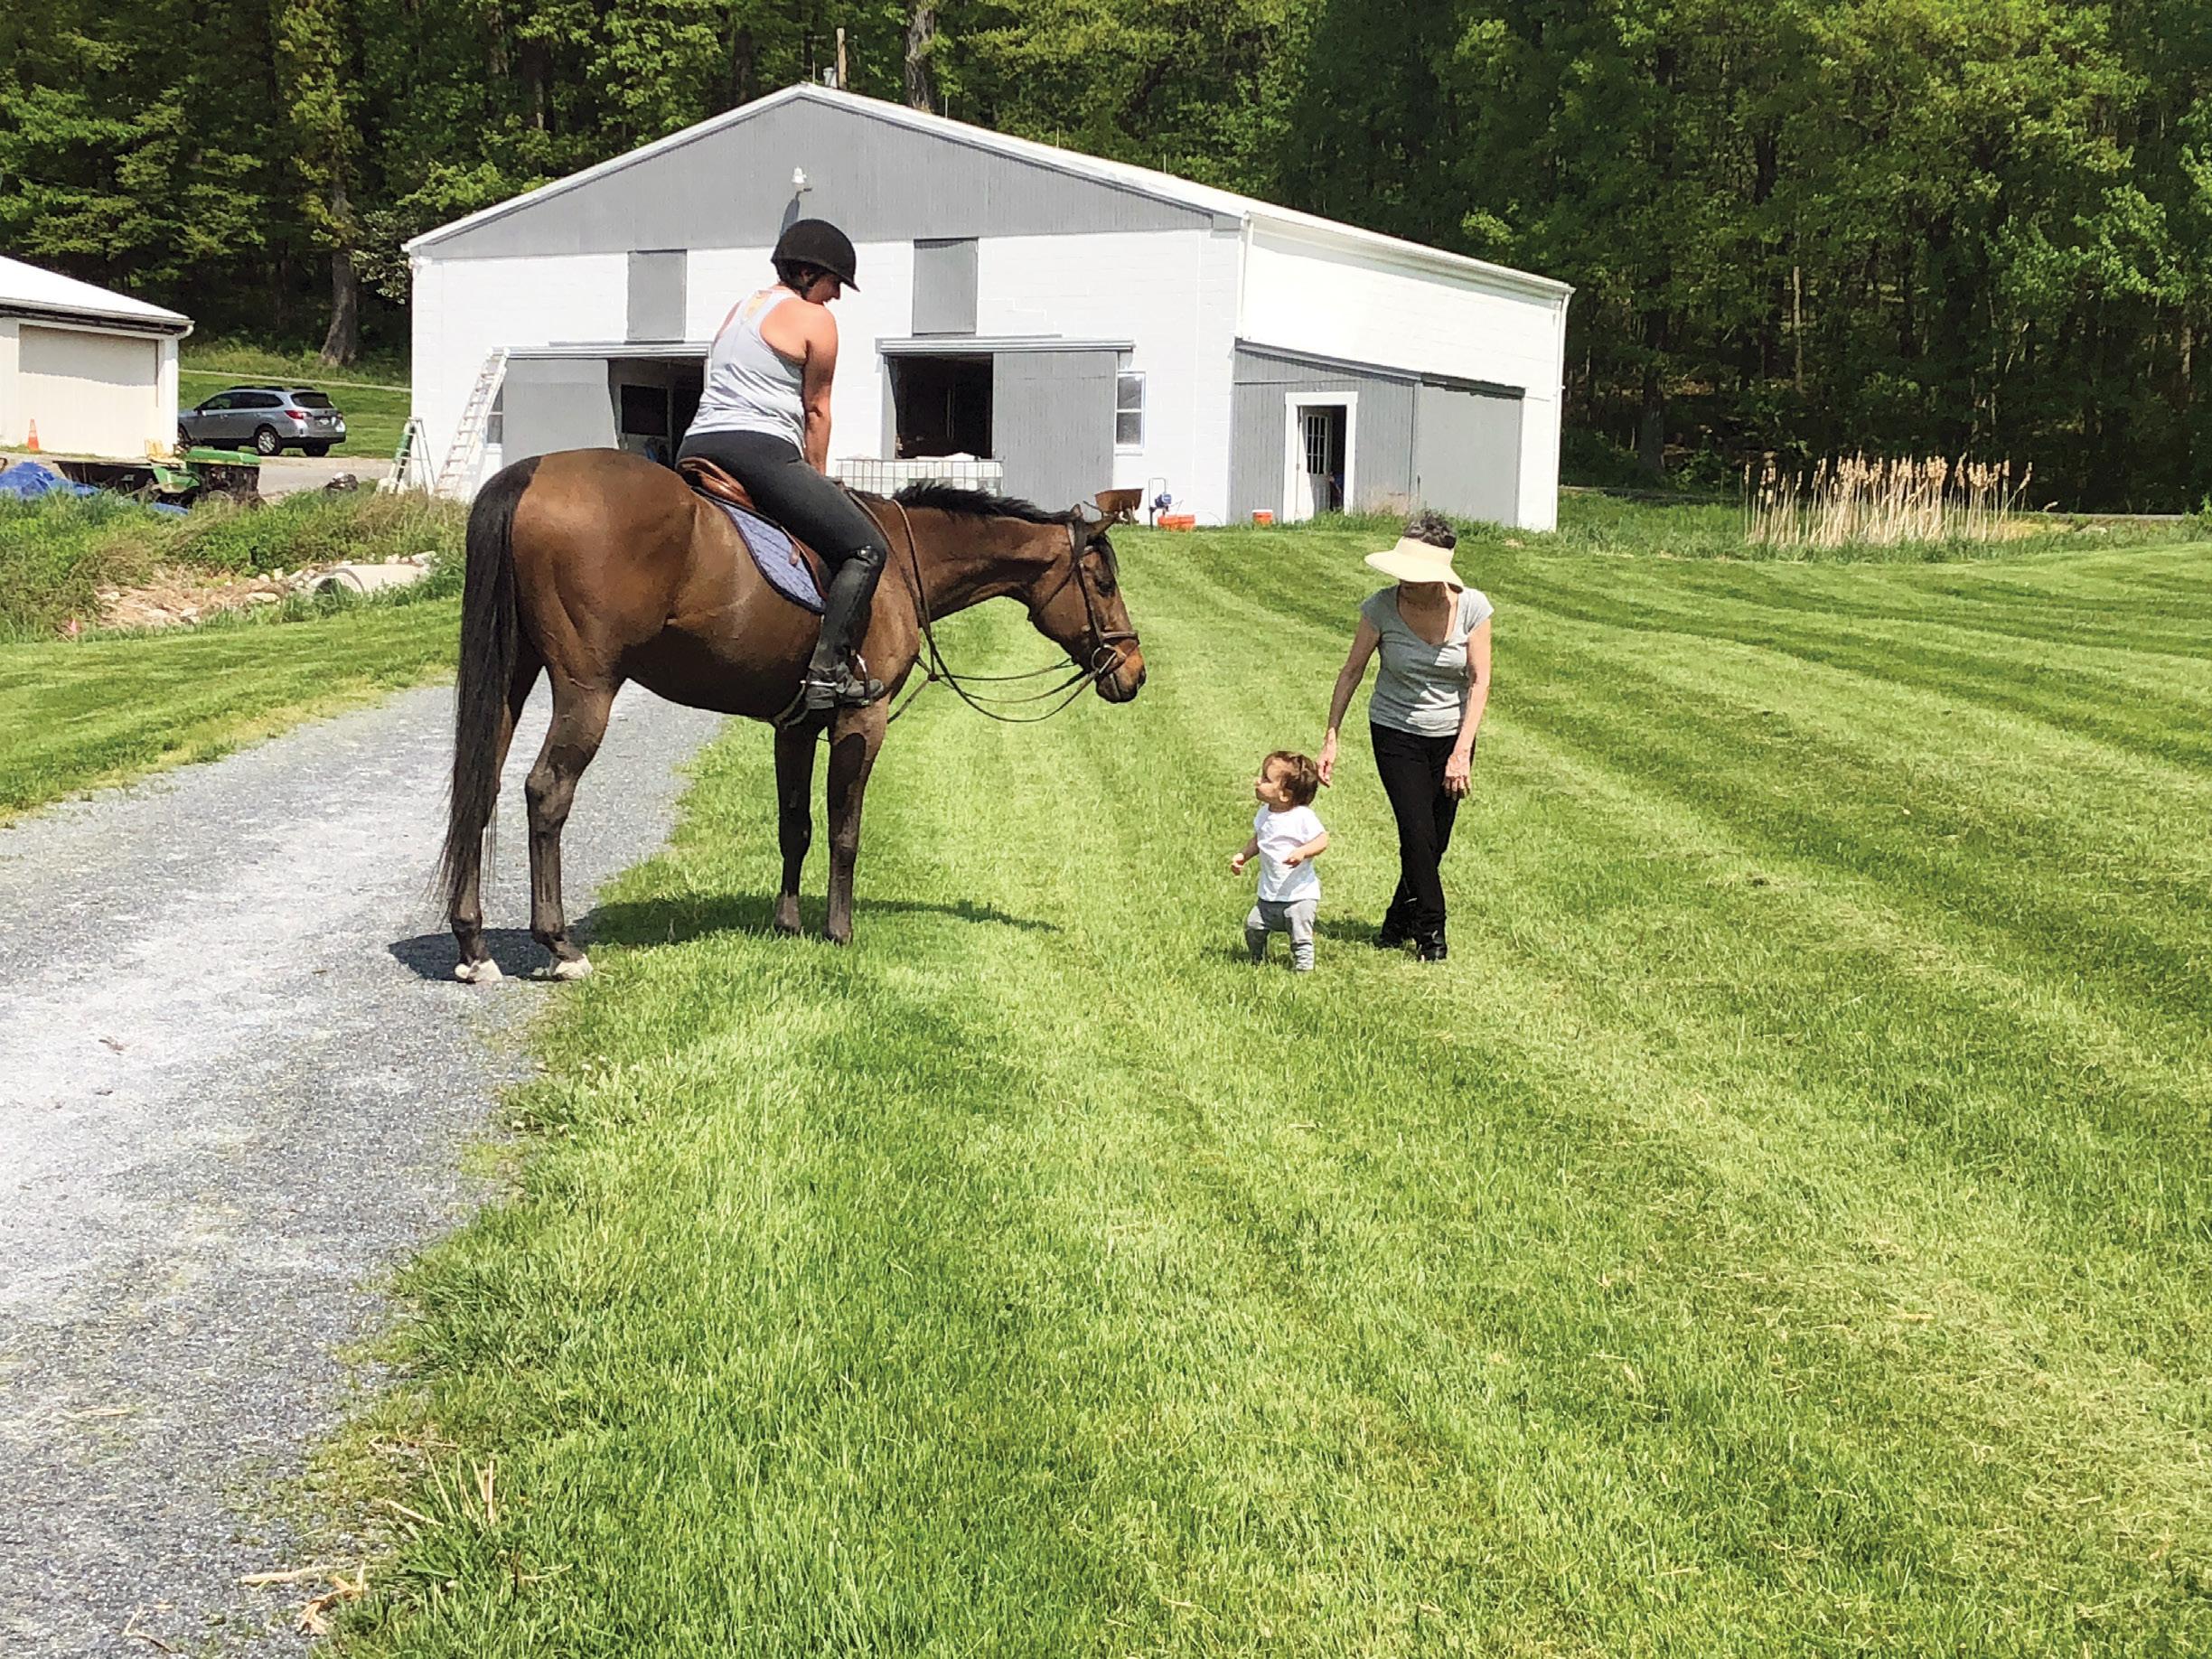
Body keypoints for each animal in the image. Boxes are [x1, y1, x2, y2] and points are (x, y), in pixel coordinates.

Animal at [440, 448, 1149, 981]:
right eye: (1105, 582)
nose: (1135, 672)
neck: (899, 561)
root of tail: (529, 474)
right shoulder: (862, 723)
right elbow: (844, 831)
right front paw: (839, 931)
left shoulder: (796, 726)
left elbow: (795, 827)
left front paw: (787, 924)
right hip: (587, 689)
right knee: (546, 792)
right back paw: (558, 945)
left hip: (511, 678)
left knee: (480, 788)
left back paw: (473, 944)